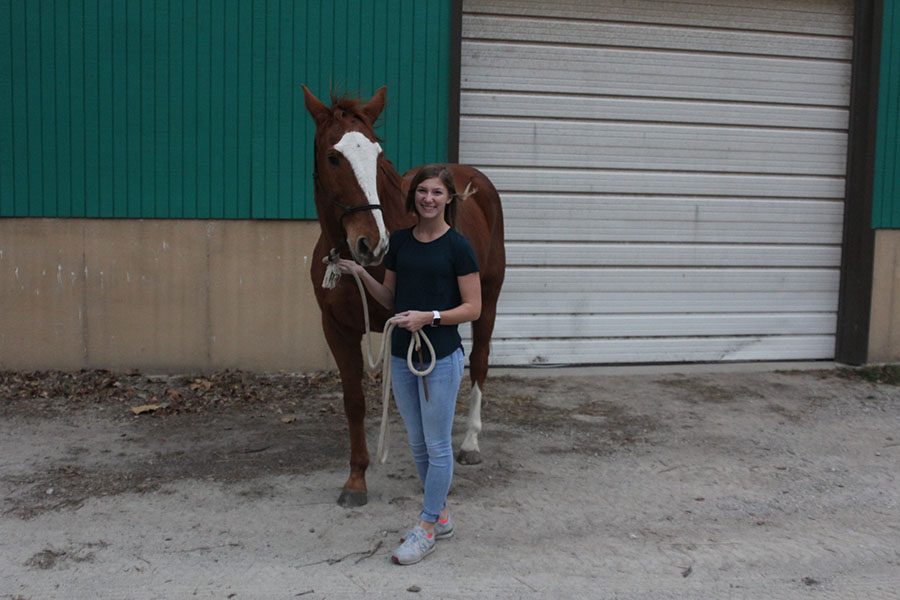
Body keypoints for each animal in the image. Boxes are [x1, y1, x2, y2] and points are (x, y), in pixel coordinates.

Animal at [302, 84, 506, 506]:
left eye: (379, 155)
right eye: (333, 157)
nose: (372, 243)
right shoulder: (338, 330)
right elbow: (355, 402)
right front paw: (356, 479)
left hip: (487, 301)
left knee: (478, 362)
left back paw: (470, 443)